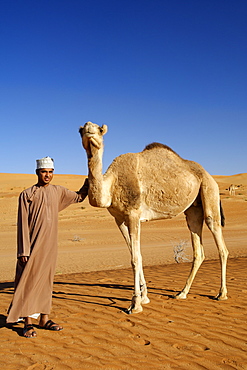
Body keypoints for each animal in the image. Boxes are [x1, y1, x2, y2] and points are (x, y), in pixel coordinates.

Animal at [79, 121, 228, 312]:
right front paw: (144, 297)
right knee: (198, 249)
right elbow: (137, 254)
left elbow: (135, 258)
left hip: (210, 191)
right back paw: (182, 293)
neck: (111, 184)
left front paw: (135, 304)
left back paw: (221, 294)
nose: (89, 128)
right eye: (81, 130)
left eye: (99, 129)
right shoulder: (119, 219)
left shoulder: (133, 214)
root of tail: (209, 174)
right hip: (194, 209)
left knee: (220, 243)